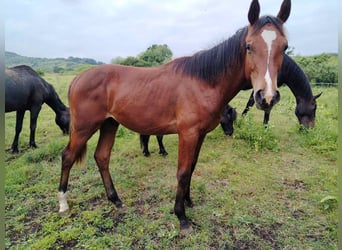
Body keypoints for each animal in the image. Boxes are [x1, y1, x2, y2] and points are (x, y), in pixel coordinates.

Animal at [58, 0, 292, 234]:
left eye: (284, 46)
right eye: (249, 46)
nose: (266, 97)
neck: (203, 82)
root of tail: (78, 78)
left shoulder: (200, 135)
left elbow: (192, 168)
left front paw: (188, 201)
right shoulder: (187, 134)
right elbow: (182, 172)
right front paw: (181, 216)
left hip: (109, 124)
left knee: (102, 157)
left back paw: (115, 199)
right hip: (84, 127)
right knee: (68, 156)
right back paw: (63, 204)